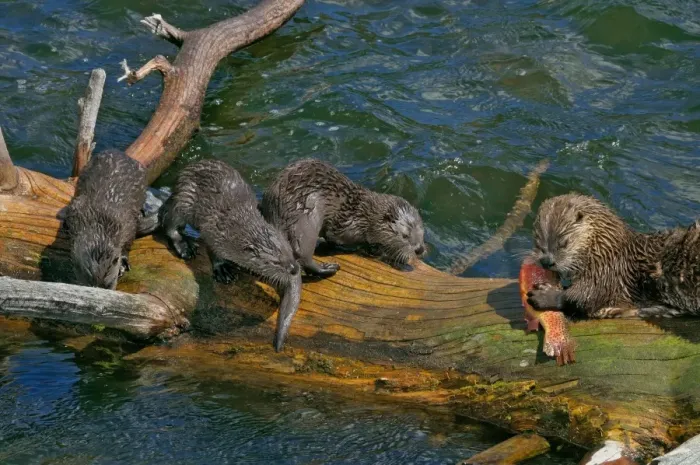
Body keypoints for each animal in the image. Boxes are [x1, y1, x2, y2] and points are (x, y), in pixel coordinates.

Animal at [64, 149, 148, 290]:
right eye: (88, 285)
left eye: (108, 285)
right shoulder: (76, 208)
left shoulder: (129, 223)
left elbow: (128, 242)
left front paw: (123, 263)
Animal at [159, 159, 302, 351]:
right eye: (275, 262)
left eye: (290, 252)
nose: (294, 269)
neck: (235, 225)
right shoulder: (212, 232)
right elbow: (213, 251)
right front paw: (223, 270)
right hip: (182, 200)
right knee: (170, 224)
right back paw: (185, 246)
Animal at [260, 158, 426, 277]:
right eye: (405, 236)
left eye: (422, 232)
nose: (420, 249)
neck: (362, 214)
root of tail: (275, 209)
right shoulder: (344, 225)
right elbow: (337, 237)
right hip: (306, 219)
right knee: (303, 254)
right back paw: (328, 268)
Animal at [526, 193, 700, 318]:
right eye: (538, 240)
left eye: (563, 242)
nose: (547, 261)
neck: (606, 249)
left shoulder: (607, 273)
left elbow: (582, 297)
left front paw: (544, 294)